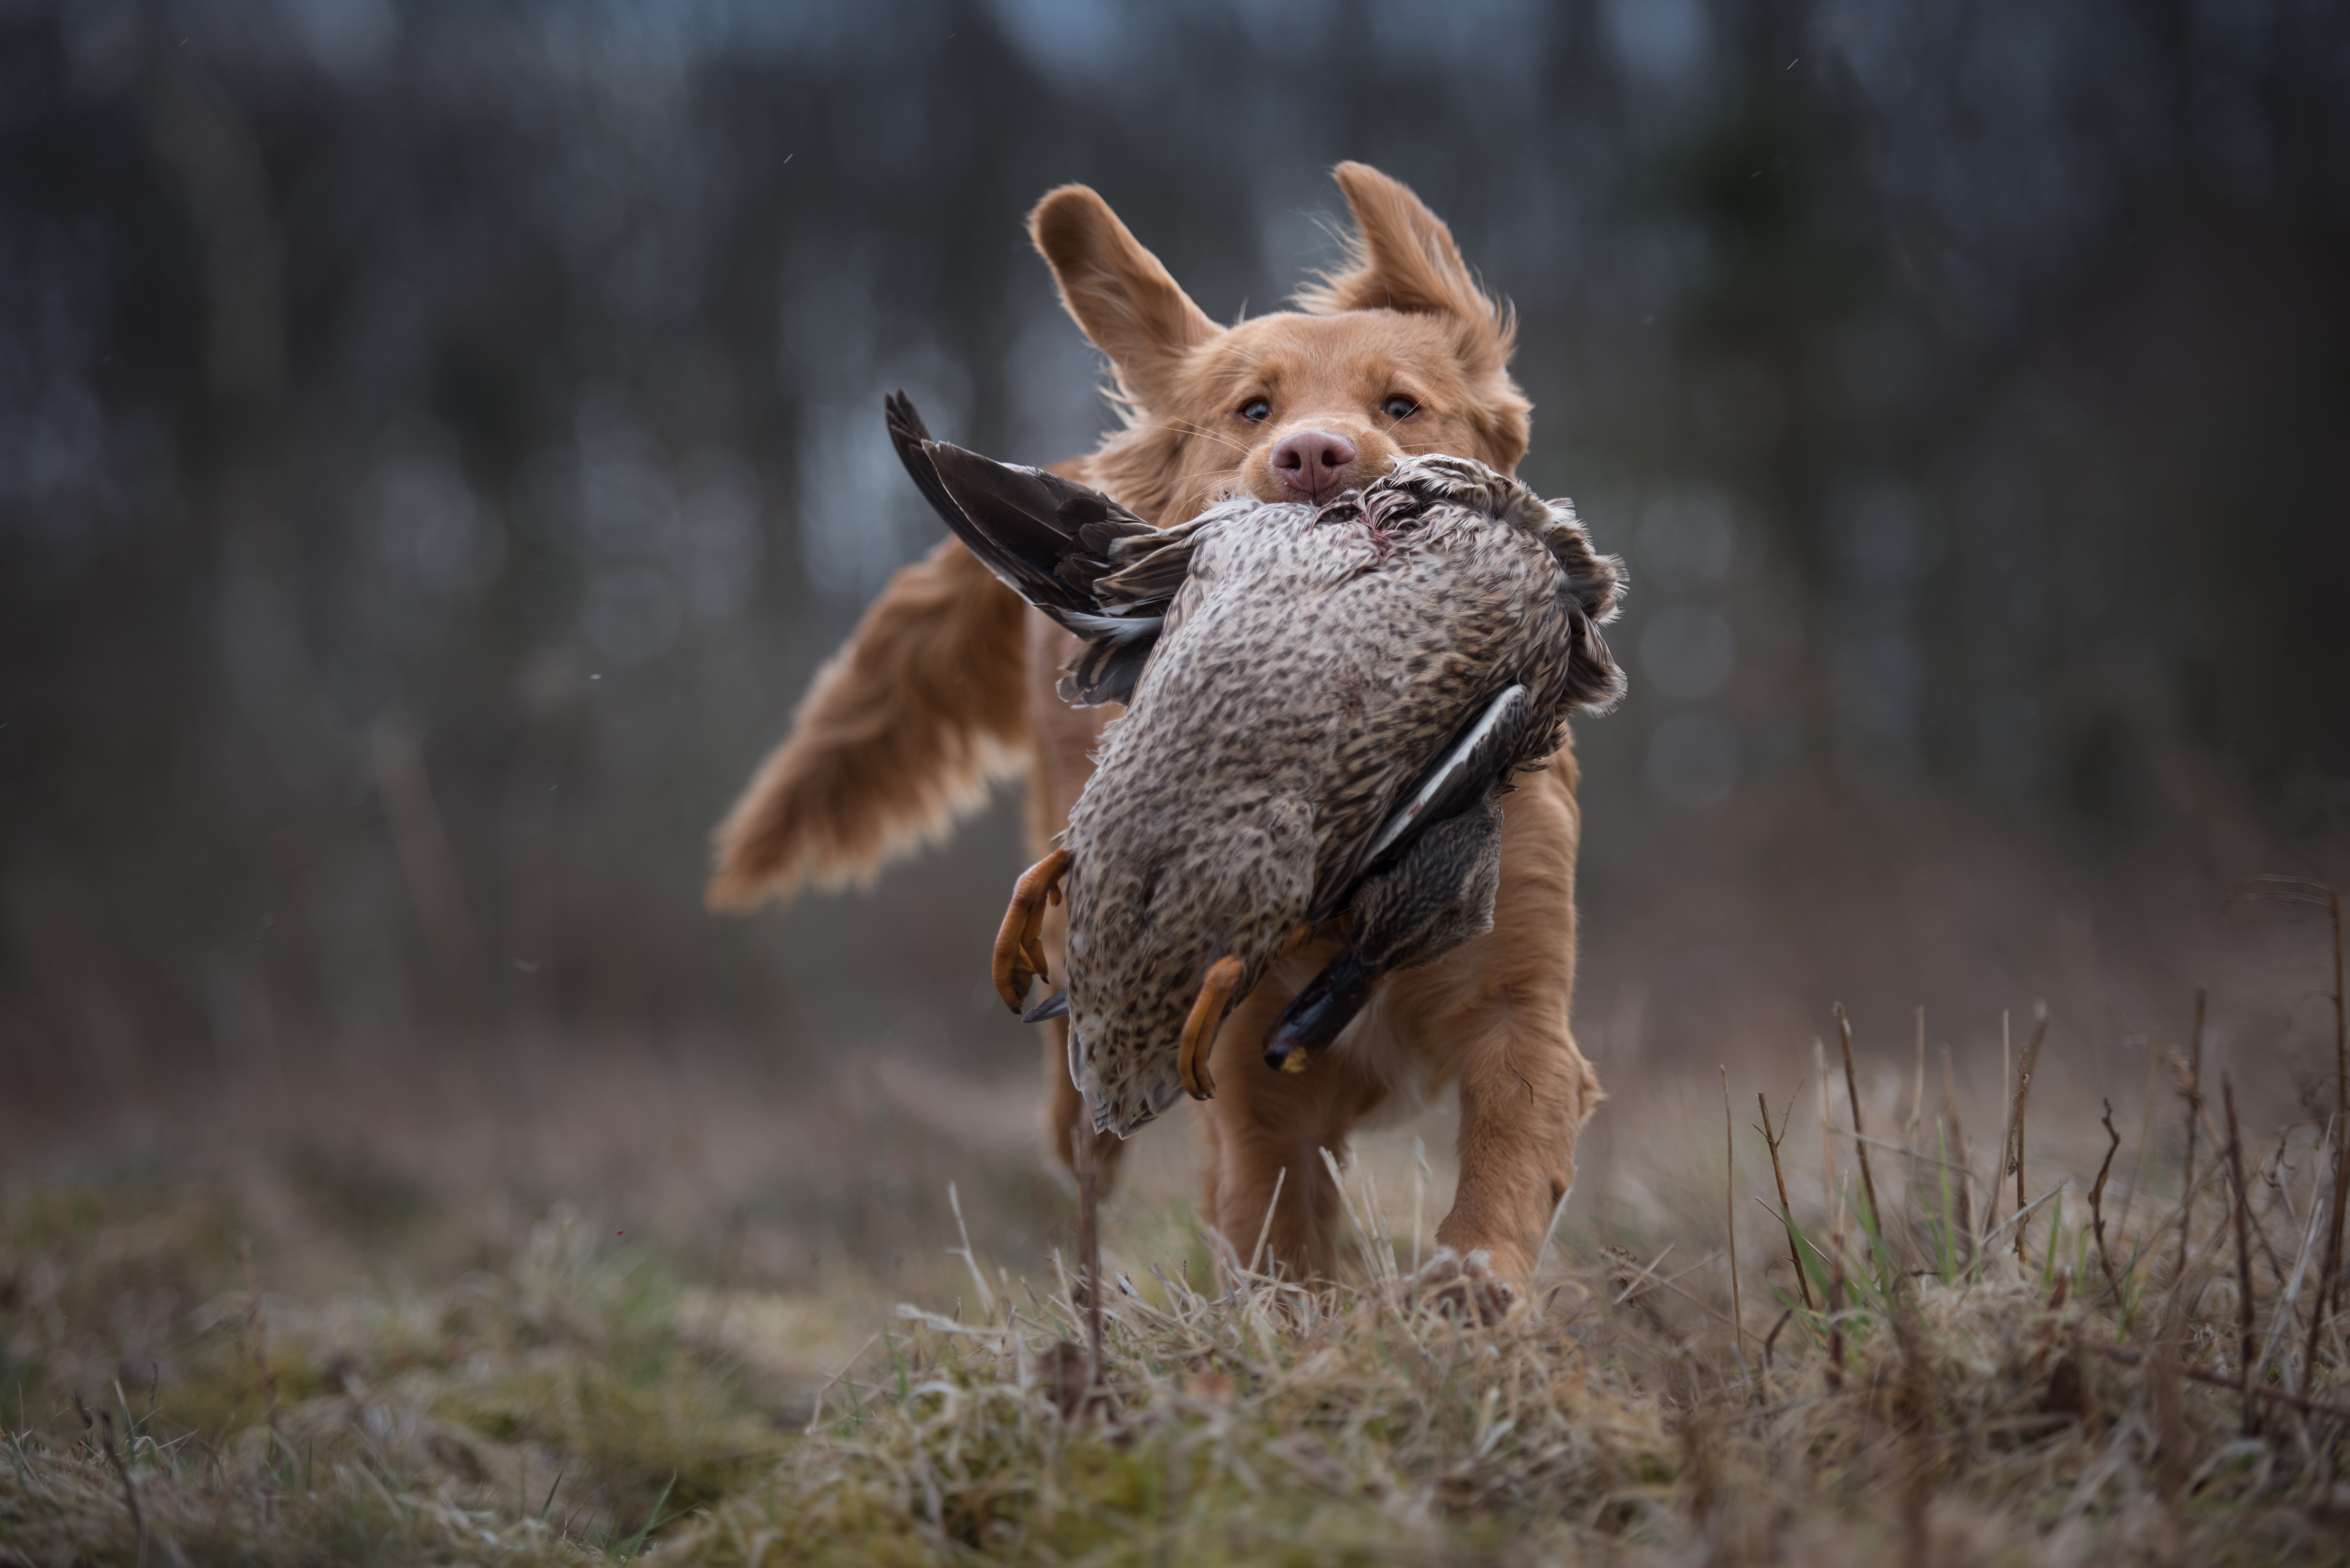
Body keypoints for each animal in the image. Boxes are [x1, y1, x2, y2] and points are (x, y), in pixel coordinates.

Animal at [705, 162, 1607, 1316]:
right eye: (1252, 408)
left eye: (1402, 403)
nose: (1315, 457)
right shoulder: (1254, 1090)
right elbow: (1272, 1225)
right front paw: (1301, 1328)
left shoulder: (1516, 1012)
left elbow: (1505, 1158)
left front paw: (1468, 1284)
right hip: (1084, 1039)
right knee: (1089, 1135)